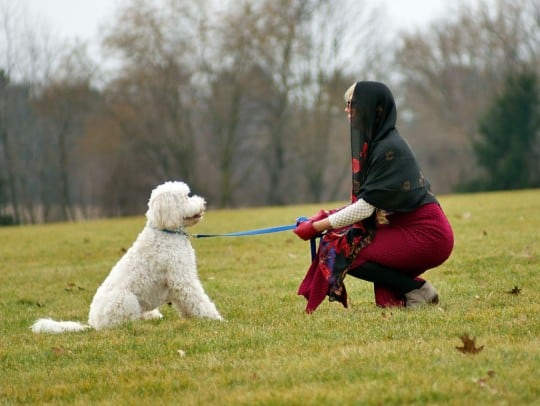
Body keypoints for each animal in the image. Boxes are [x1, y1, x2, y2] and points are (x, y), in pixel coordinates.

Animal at [31, 181, 224, 334]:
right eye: (185, 197)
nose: (203, 202)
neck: (165, 231)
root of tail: (93, 324)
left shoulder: (177, 281)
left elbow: (187, 303)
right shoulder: (181, 278)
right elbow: (199, 299)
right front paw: (216, 319)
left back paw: (151, 316)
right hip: (125, 299)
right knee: (125, 322)